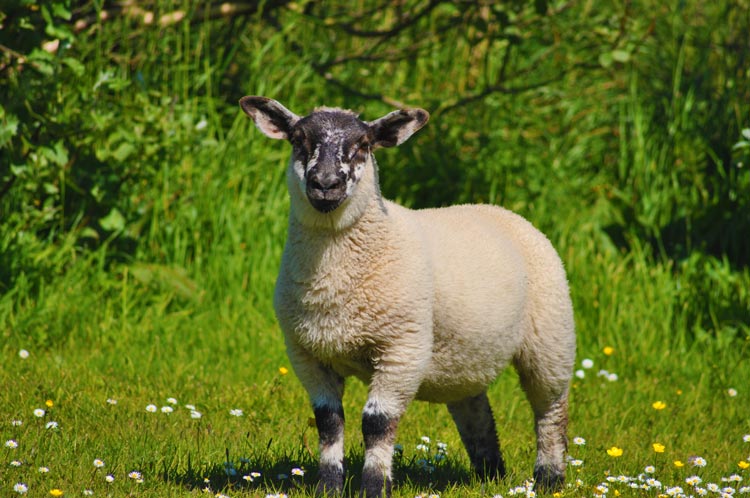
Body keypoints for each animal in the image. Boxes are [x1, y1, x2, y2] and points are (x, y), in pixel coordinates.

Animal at [239, 96, 576, 498]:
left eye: (363, 145)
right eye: (299, 140)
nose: (325, 184)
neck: (335, 280)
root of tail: (498, 209)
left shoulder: (401, 348)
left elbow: (377, 423)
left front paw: (374, 486)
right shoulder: (308, 353)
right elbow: (329, 421)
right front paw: (329, 487)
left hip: (551, 335)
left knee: (550, 409)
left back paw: (549, 477)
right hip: (465, 354)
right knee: (474, 408)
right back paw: (489, 473)